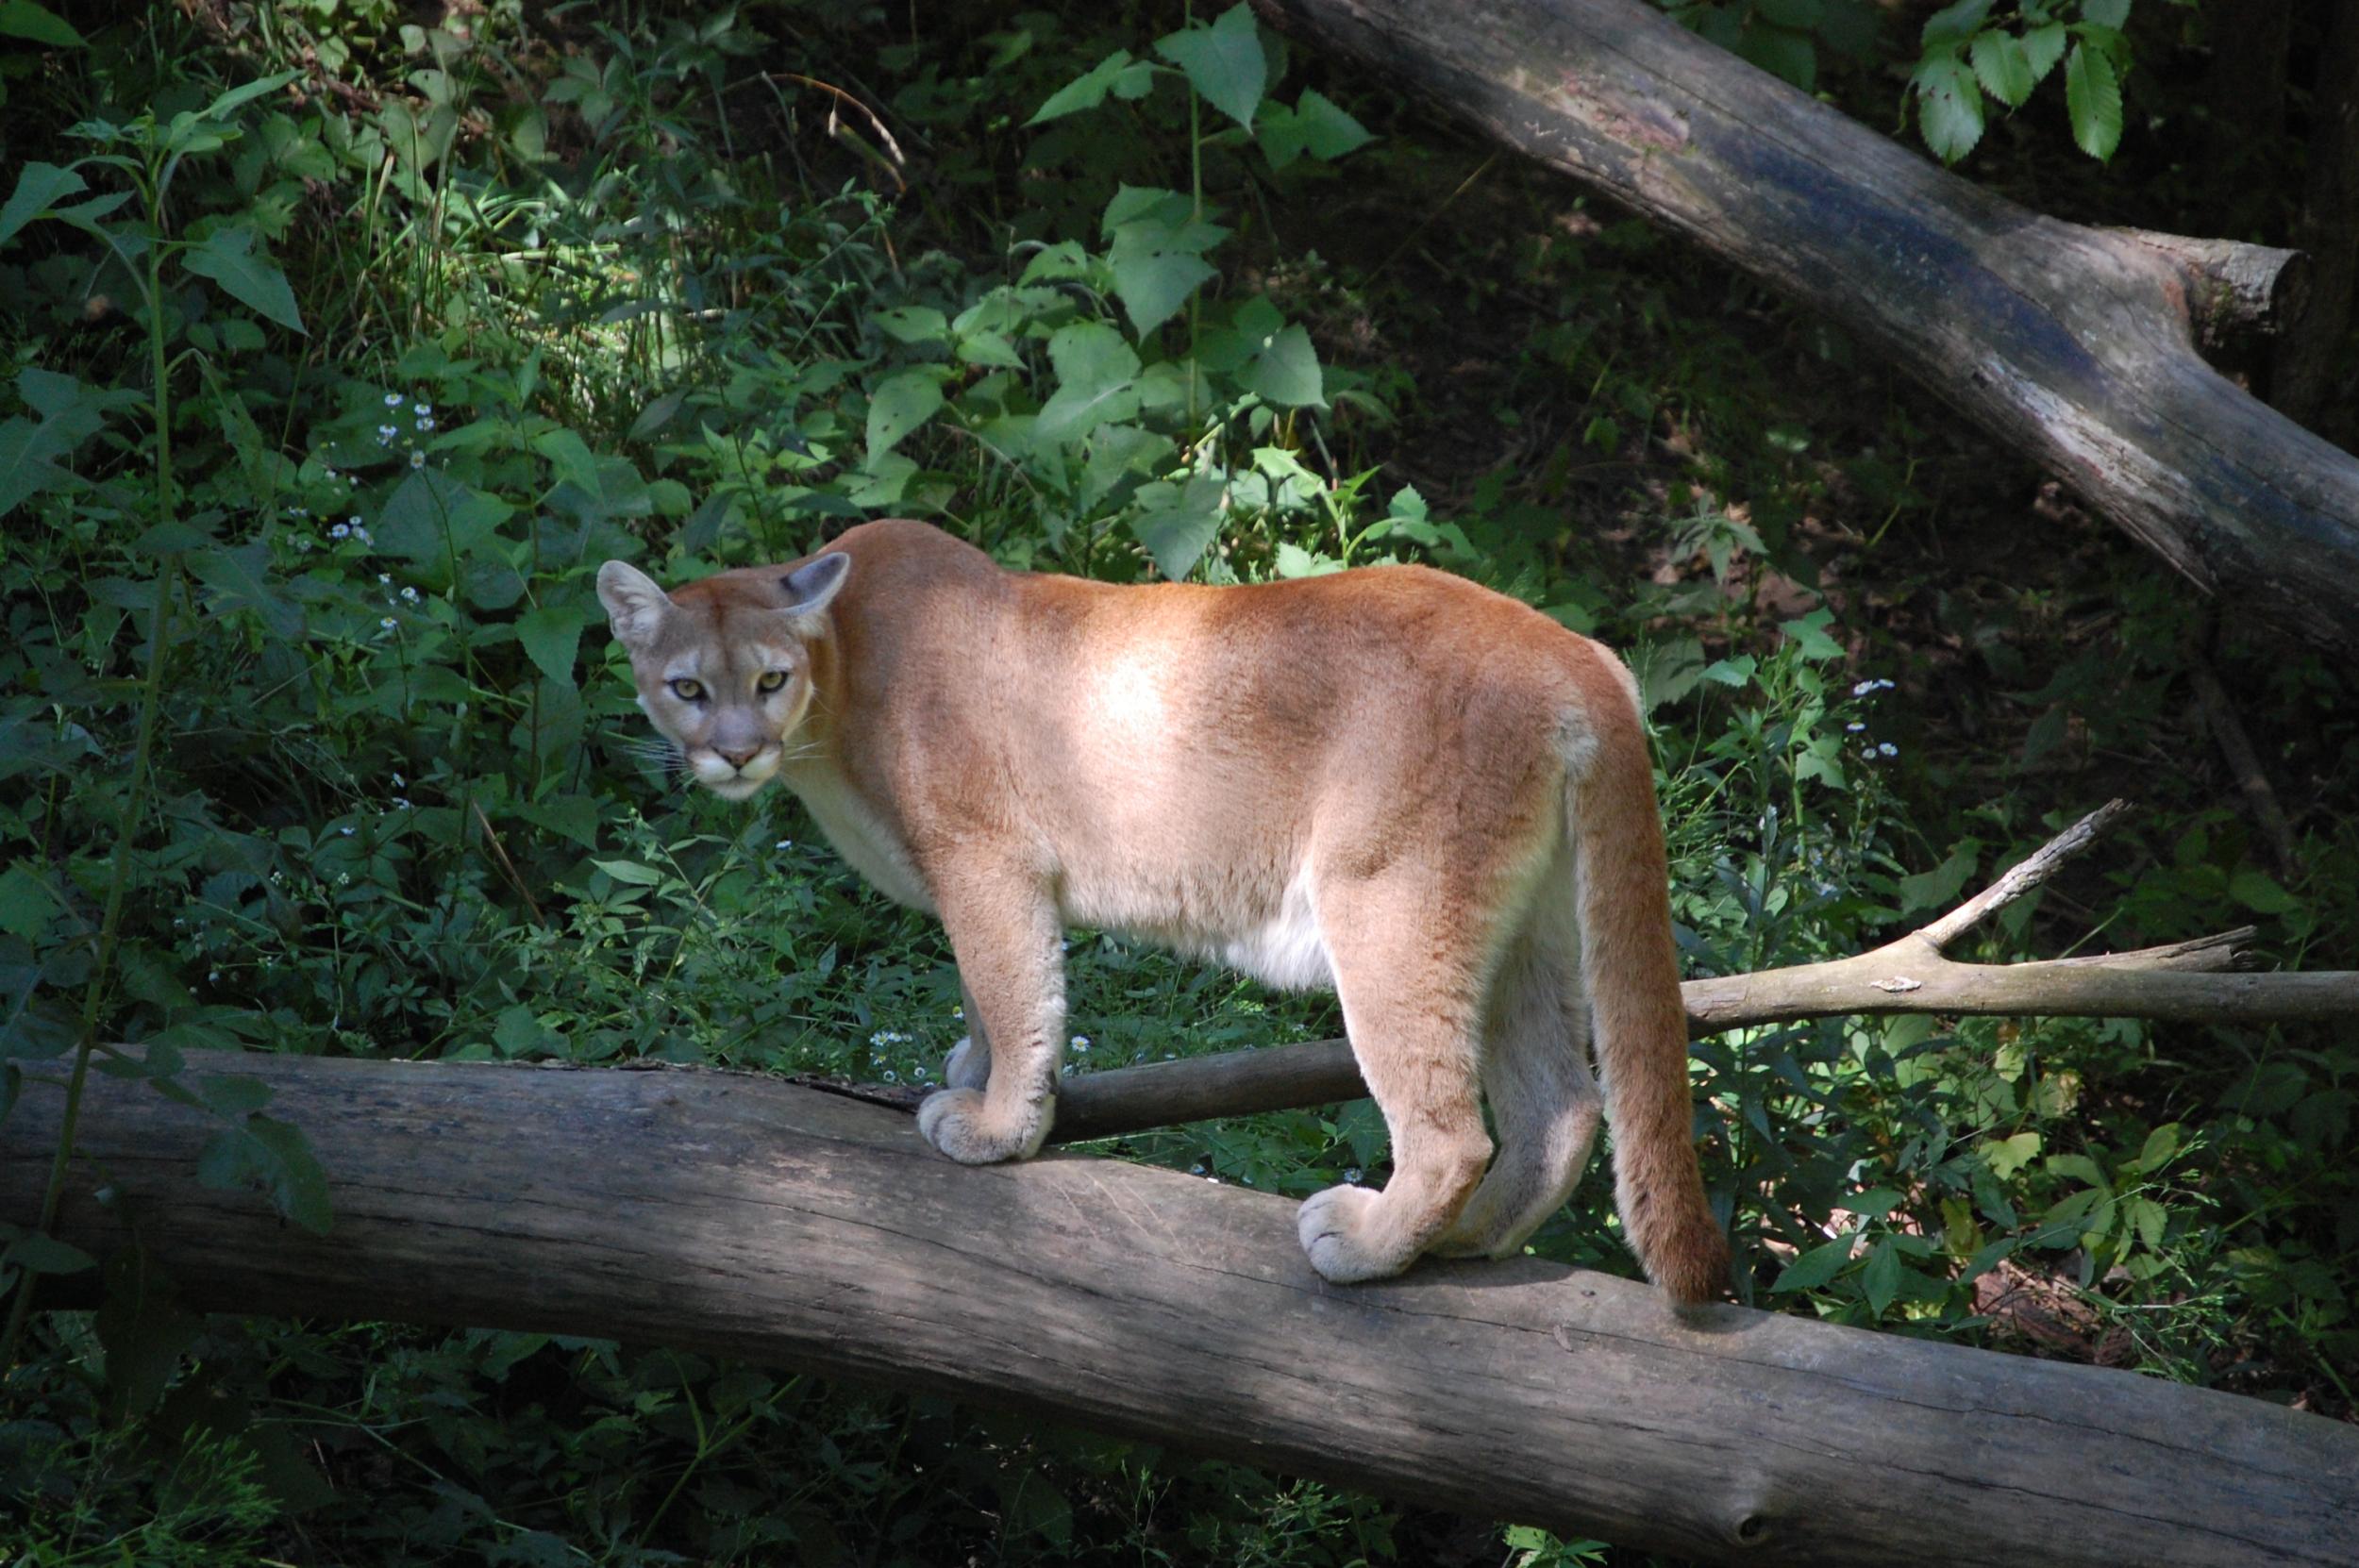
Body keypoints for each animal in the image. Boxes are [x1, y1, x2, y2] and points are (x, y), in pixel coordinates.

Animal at [599, 516, 1727, 1292]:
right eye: (688, 689)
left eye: (768, 679)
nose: (734, 752)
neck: (832, 690)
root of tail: (1571, 650)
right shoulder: (984, 873)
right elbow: (987, 989)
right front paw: (977, 1075)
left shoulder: (984, 857)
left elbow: (1009, 985)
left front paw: (998, 1125)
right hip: (1524, 929)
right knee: (1562, 1106)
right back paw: (1468, 1242)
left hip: (1392, 905)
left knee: (1453, 1130)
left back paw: (1365, 1245)